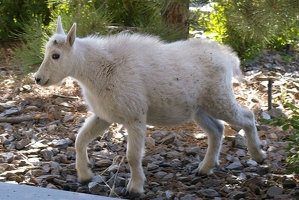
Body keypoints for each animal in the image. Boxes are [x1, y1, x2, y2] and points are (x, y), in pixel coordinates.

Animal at [35, 16, 268, 197]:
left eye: (56, 55)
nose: (38, 79)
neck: (96, 70)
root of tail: (228, 57)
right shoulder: (104, 116)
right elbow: (80, 139)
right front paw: (85, 176)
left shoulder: (135, 116)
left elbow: (132, 155)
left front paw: (135, 189)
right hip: (199, 109)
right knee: (217, 129)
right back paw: (205, 168)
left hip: (219, 98)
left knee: (247, 117)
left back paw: (258, 155)